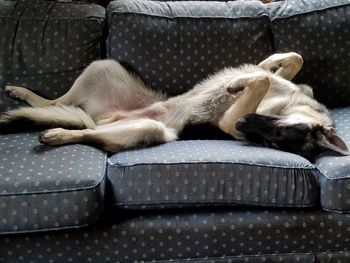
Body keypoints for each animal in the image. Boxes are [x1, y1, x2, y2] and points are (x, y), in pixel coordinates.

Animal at [0, 51, 348, 159]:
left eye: (274, 141)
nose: (242, 126)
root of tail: (103, 120)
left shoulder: (230, 120)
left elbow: (260, 79)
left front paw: (240, 83)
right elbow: (286, 63)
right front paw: (267, 63)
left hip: (149, 128)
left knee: (87, 135)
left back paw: (60, 134)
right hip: (102, 67)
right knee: (55, 101)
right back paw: (20, 92)